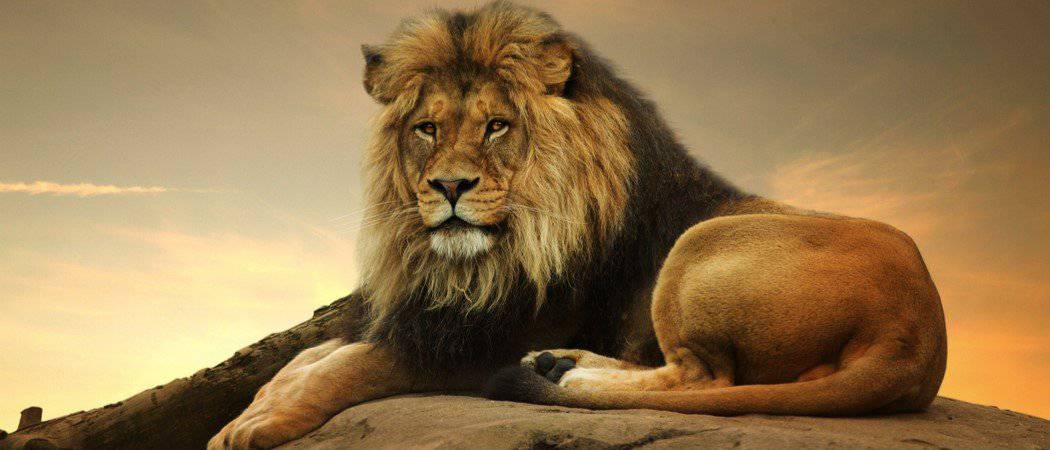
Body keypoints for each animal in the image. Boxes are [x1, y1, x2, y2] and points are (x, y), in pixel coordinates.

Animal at [209, 2, 946, 448]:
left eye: (496, 126)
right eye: (426, 130)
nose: (449, 187)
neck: (478, 262)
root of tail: (919, 335)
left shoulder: (478, 340)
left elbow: (346, 367)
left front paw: (254, 427)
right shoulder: (431, 316)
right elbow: (309, 357)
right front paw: (252, 409)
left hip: (696, 246)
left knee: (706, 380)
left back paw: (569, 376)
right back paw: (562, 366)